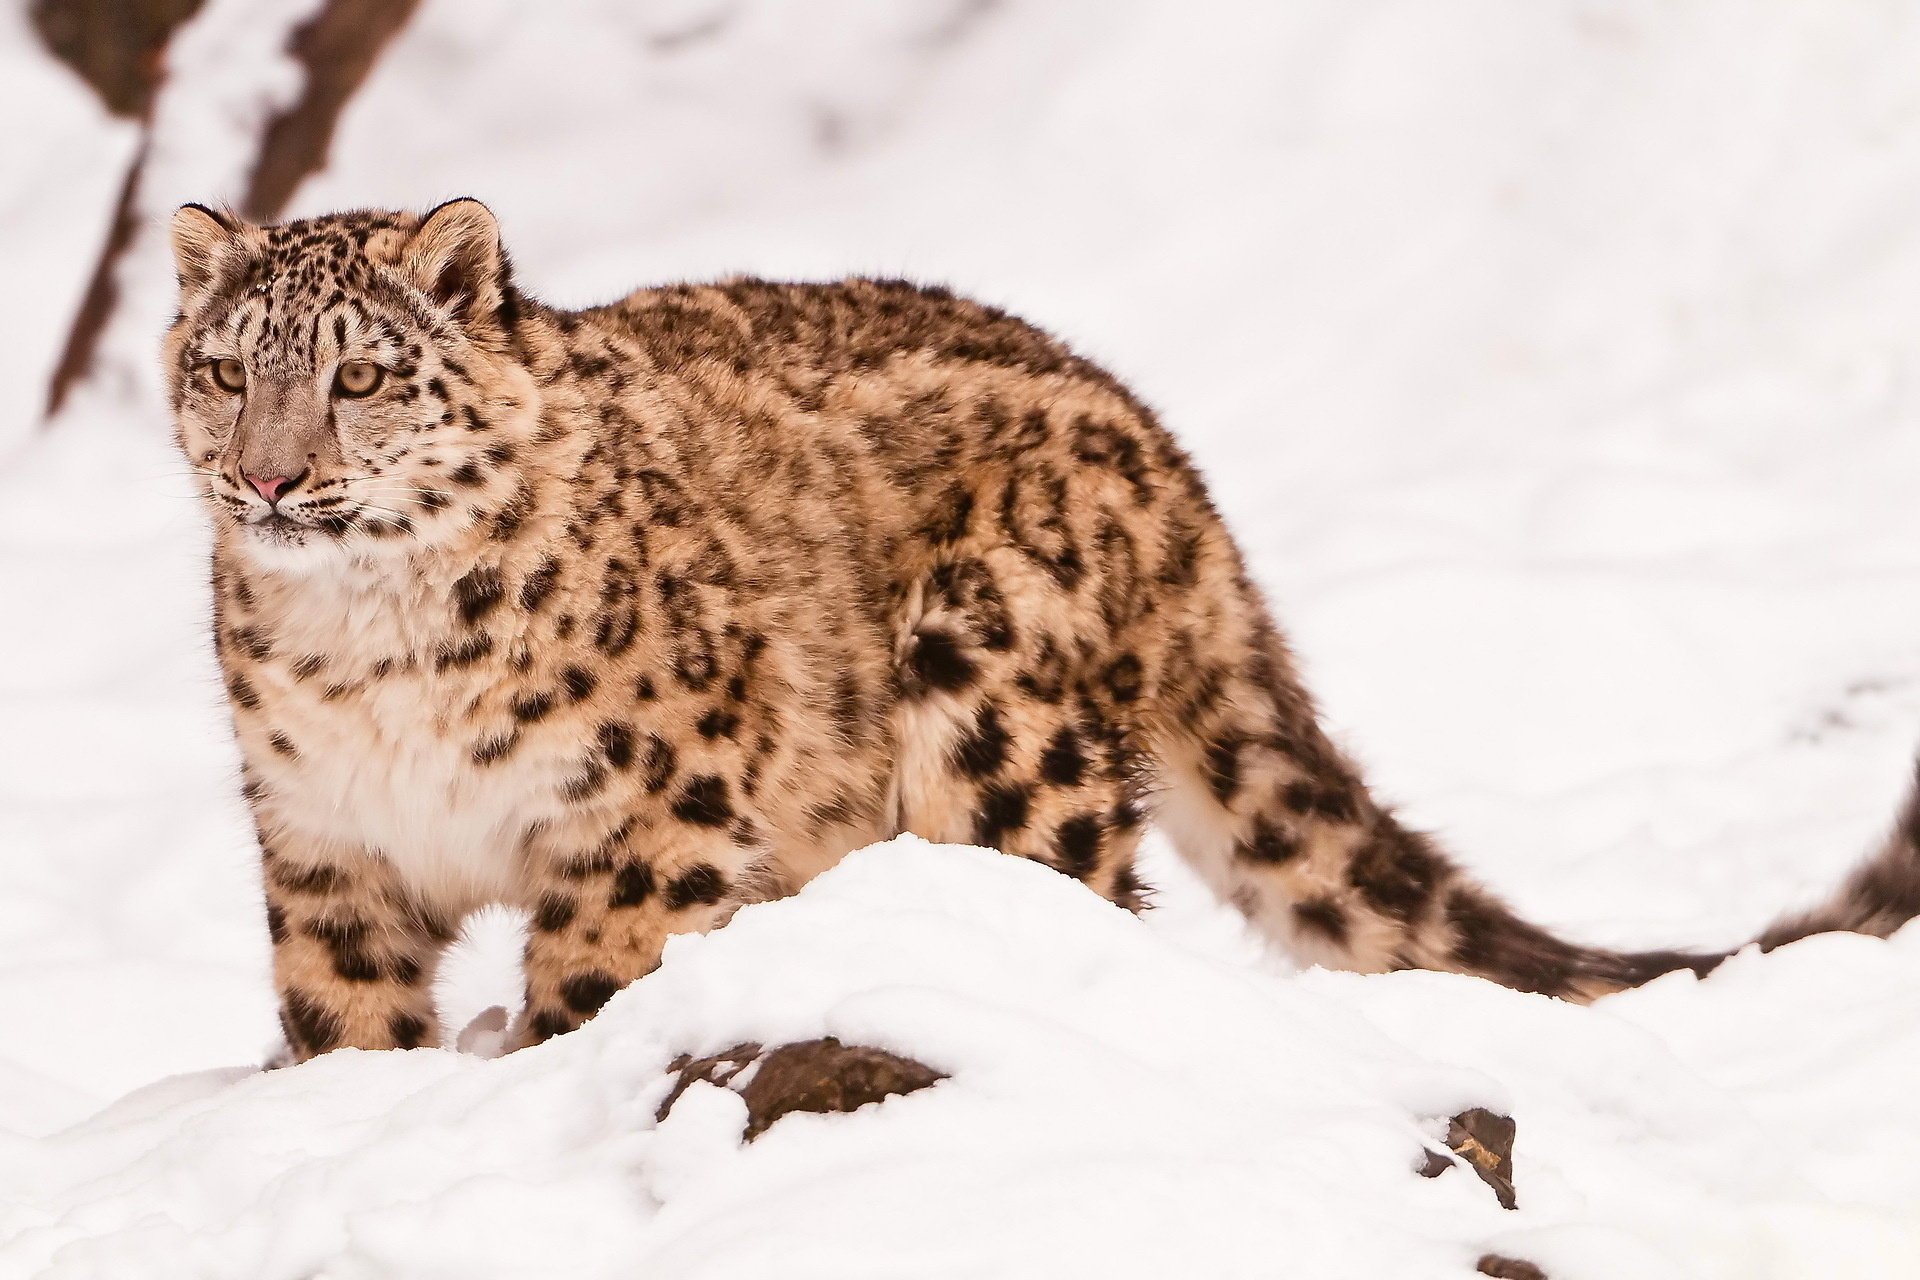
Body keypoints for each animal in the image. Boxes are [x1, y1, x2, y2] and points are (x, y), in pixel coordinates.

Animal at [162, 198, 1920, 1061]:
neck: (369, 656)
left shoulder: (646, 817)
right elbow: (341, 1020)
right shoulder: (323, 846)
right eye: (224, 364)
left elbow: (595, 981)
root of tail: (1165, 454)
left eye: (361, 373)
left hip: (995, 711)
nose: (271, 474)